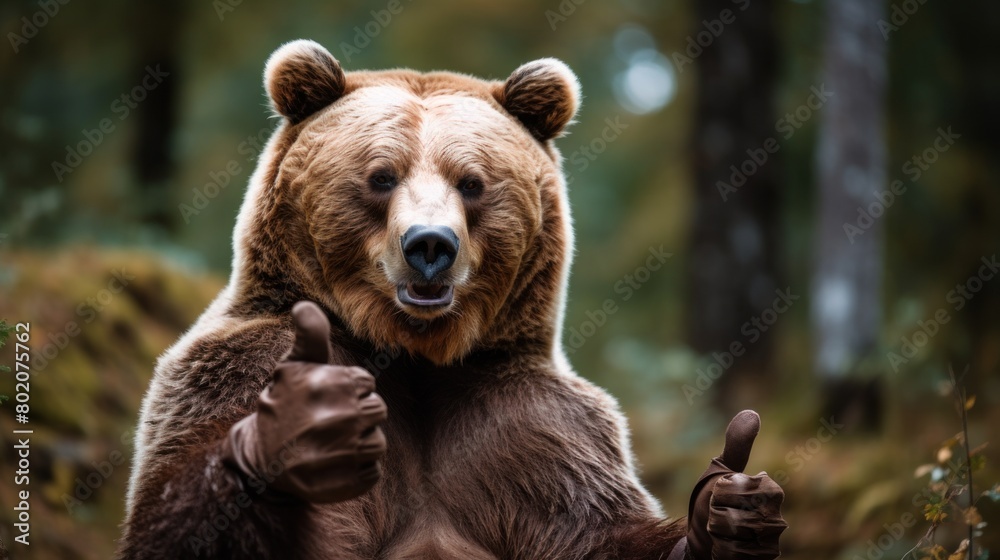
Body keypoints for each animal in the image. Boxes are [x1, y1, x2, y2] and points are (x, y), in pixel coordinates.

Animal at [119, 39, 786, 559]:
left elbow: (602, 529)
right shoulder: (241, 361)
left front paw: (726, 515)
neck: (417, 357)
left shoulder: (532, 430)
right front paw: (300, 427)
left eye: (471, 182)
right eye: (381, 176)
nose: (430, 245)